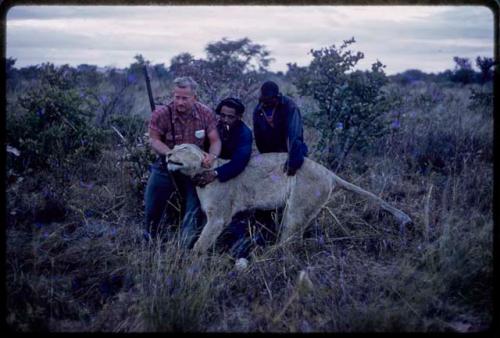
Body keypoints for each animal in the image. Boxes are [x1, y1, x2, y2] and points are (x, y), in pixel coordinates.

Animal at [166, 143, 412, 254]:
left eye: (183, 147)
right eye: (174, 146)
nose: (167, 153)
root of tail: (329, 173)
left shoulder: (219, 217)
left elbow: (202, 242)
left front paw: (190, 261)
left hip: (298, 206)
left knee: (290, 239)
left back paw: (267, 255)